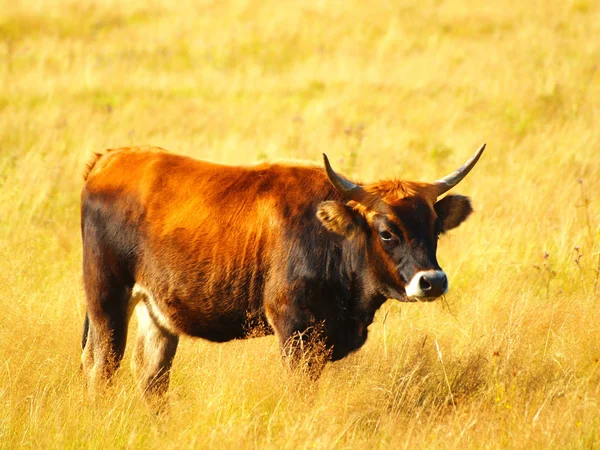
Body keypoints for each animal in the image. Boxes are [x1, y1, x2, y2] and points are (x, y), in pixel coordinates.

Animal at [79, 143, 486, 398]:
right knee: (102, 368)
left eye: (435, 229)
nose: (432, 281)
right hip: (106, 301)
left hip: (156, 312)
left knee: (151, 377)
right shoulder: (294, 331)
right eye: (387, 232)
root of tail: (107, 159)